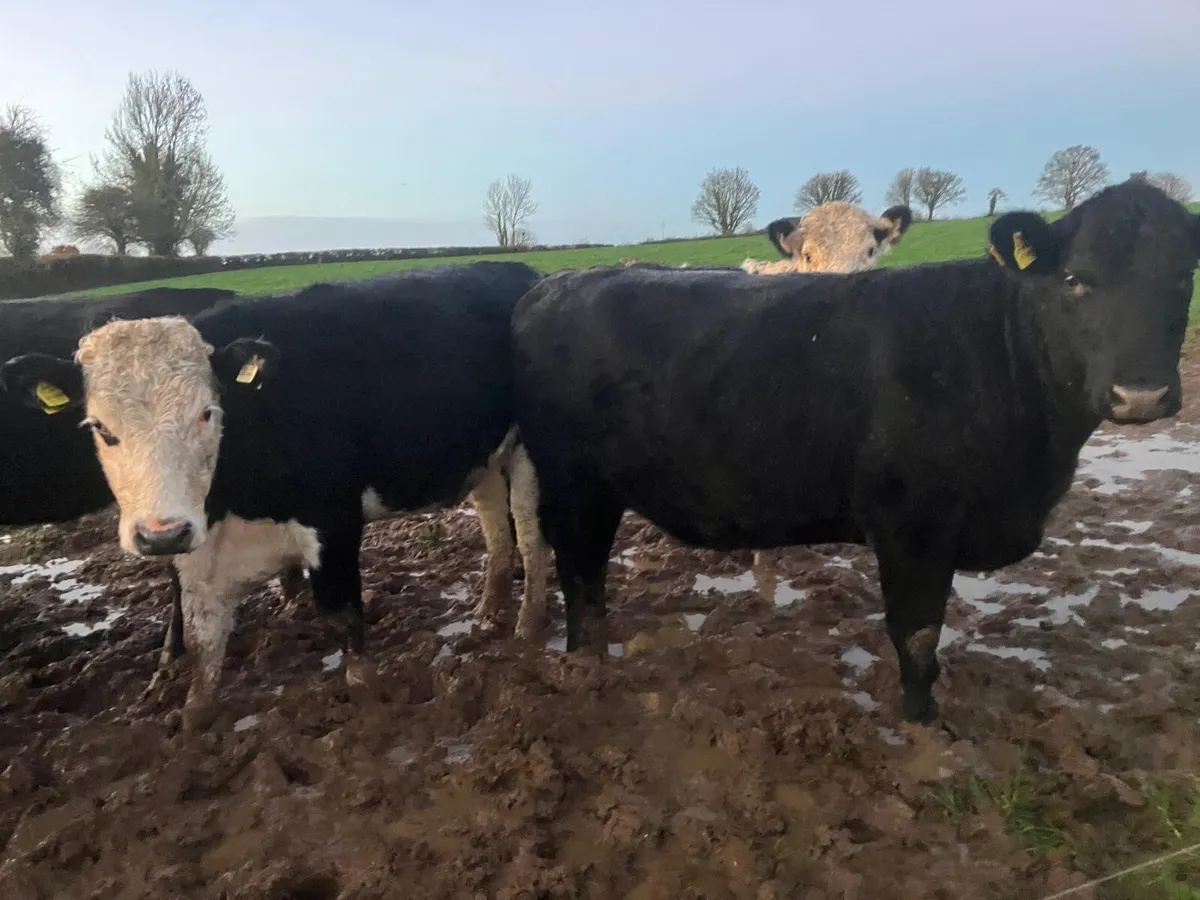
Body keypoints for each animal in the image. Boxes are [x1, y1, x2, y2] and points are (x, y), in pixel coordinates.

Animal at [1, 262, 545, 730]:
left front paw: (370, 702)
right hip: (483, 459)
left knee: (531, 540)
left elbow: (343, 618)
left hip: (529, 457)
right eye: (100, 427)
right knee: (496, 528)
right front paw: (190, 724)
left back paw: (526, 631)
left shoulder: (333, 522)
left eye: (207, 413)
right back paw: (487, 614)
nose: (162, 534)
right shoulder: (197, 556)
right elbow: (201, 650)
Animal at [508, 180, 1200, 724]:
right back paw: (585, 668)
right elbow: (917, 638)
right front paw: (924, 727)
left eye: (1183, 275)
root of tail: (556, 283)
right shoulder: (913, 526)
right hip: (573, 486)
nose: (1141, 395)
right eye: (1075, 280)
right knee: (580, 577)